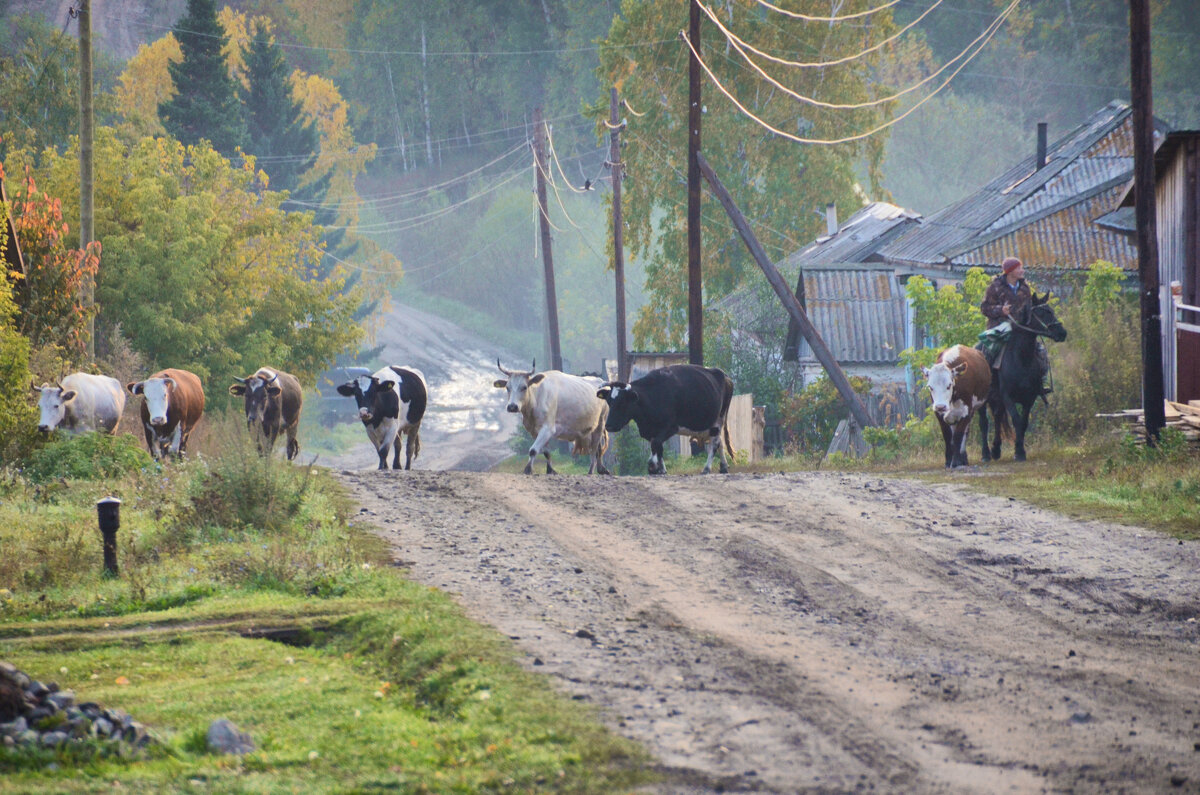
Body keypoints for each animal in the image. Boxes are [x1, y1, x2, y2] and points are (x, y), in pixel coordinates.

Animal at [597, 365, 729, 475]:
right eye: (609, 401)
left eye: (623, 402)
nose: (609, 426)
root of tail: (724, 375)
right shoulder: (649, 431)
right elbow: (657, 447)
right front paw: (661, 469)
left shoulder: (670, 427)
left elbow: (656, 444)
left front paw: (653, 466)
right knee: (720, 442)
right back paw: (723, 467)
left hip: (718, 421)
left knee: (715, 444)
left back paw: (706, 468)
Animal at [974, 293, 1070, 463]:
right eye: (1042, 313)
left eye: (1051, 310)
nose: (1062, 333)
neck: (1020, 359)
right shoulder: (1008, 397)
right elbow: (1016, 420)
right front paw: (1018, 452)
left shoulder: (1029, 397)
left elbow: (1023, 423)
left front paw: (1020, 449)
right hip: (984, 400)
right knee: (984, 423)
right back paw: (986, 454)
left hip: (997, 399)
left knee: (997, 418)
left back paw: (996, 450)